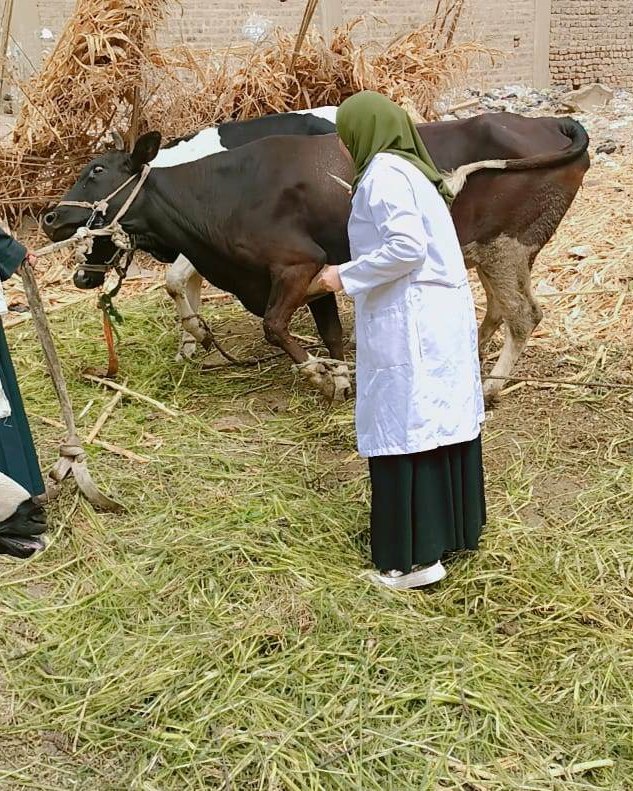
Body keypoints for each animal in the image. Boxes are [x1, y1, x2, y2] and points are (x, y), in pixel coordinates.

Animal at [42, 111, 590, 403]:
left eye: (96, 171)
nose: (49, 218)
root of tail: (551, 121)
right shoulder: (317, 271)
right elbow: (330, 334)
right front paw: (341, 376)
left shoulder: (297, 264)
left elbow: (274, 326)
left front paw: (320, 377)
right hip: (496, 251)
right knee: (501, 308)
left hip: (506, 245)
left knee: (523, 315)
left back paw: (492, 385)